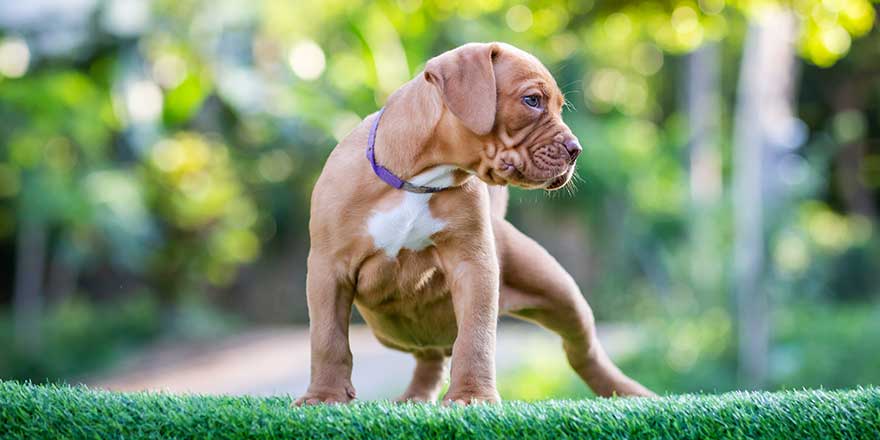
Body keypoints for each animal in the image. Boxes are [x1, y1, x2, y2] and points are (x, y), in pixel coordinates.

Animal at [296, 43, 652, 404]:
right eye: (532, 100)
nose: (575, 149)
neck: (419, 179)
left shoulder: (474, 265)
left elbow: (475, 337)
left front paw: (472, 396)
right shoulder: (329, 269)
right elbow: (328, 337)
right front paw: (325, 395)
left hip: (562, 294)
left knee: (582, 348)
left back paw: (628, 392)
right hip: (396, 332)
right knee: (430, 356)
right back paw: (415, 397)